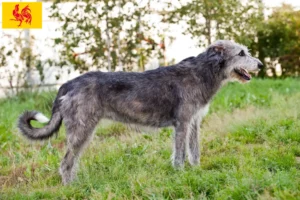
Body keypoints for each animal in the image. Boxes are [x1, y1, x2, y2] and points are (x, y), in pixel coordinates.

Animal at [18, 39, 262, 185]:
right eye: (241, 53)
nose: (260, 64)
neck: (203, 72)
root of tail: (68, 84)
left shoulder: (194, 122)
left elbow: (194, 151)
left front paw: (196, 170)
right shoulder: (182, 123)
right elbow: (180, 154)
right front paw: (180, 175)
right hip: (81, 129)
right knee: (66, 162)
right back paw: (71, 187)